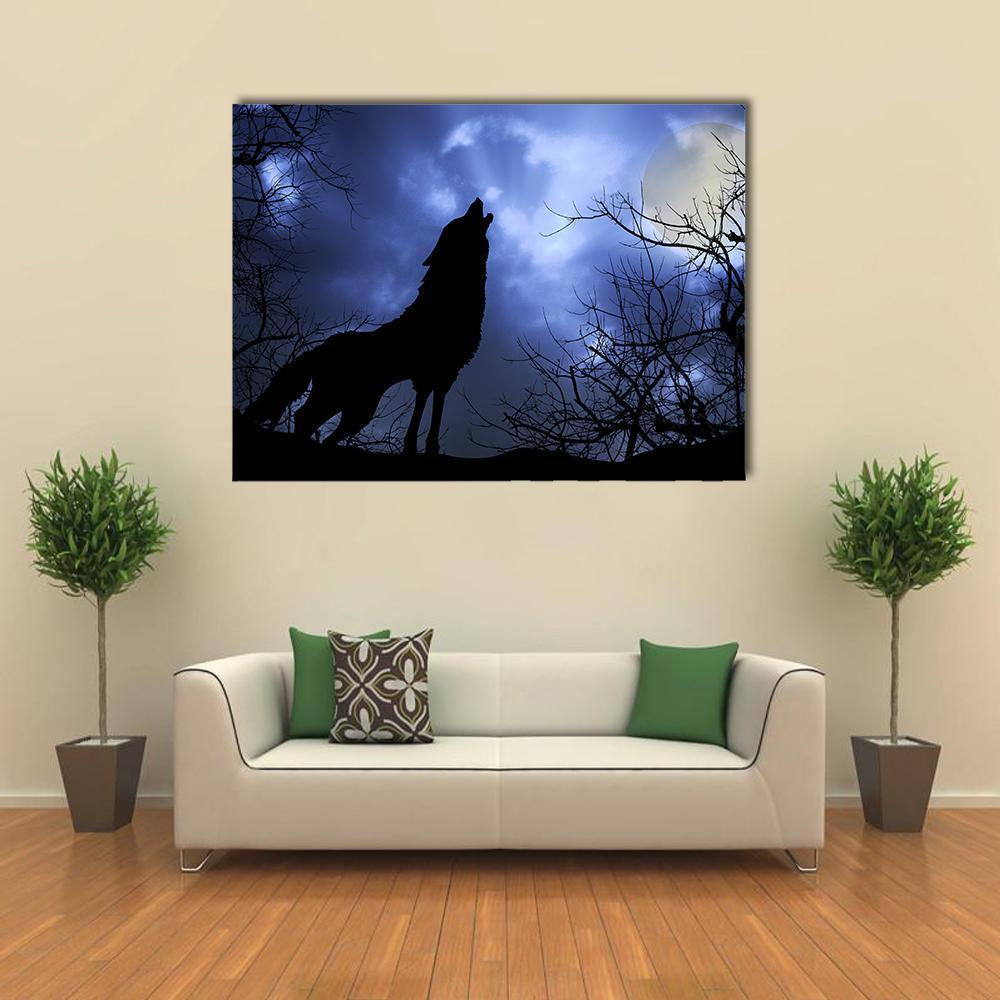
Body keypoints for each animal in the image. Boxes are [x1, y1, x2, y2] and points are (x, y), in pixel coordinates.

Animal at [244, 198, 493, 456]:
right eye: (460, 221)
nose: (477, 200)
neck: (449, 301)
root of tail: (320, 348)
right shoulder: (437, 371)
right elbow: (428, 411)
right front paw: (423, 449)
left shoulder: (439, 373)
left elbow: (428, 407)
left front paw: (419, 449)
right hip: (344, 401)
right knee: (304, 417)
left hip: (355, 409)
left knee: (315, 426)